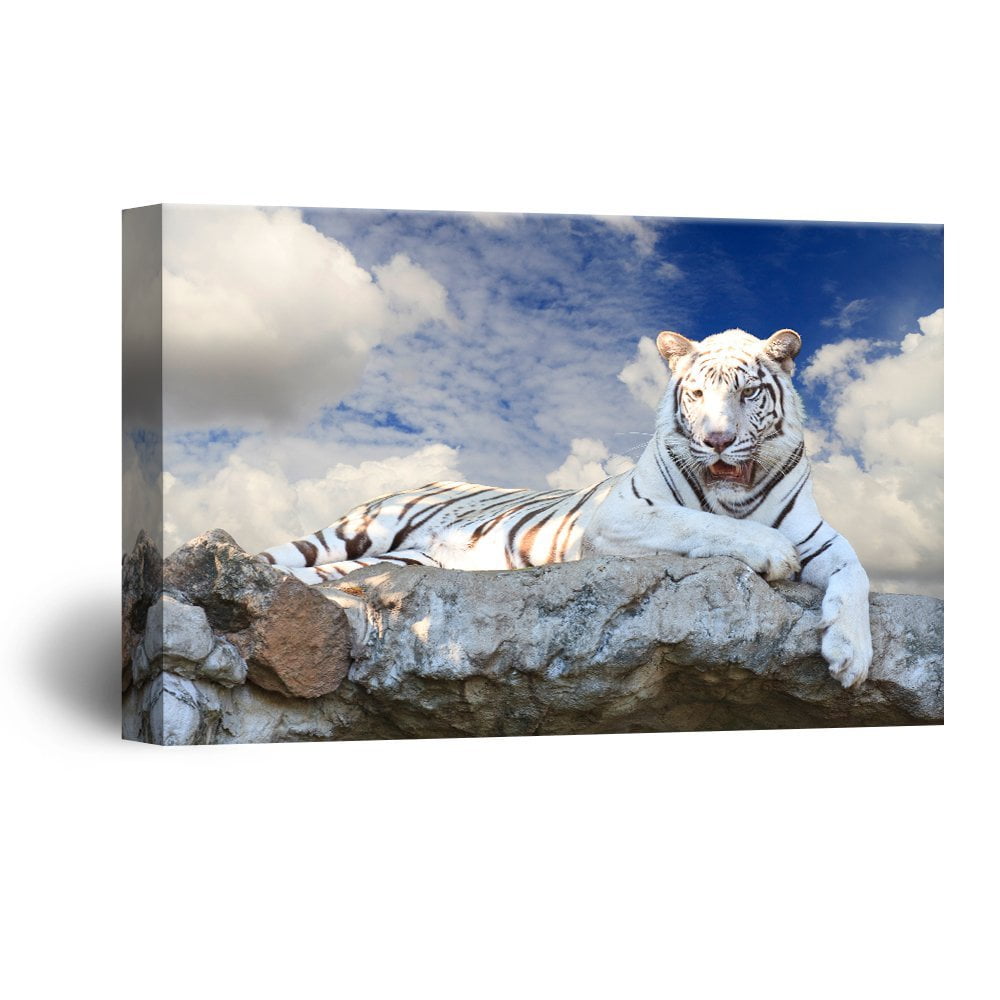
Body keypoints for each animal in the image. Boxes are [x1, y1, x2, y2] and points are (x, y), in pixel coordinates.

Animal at [259, 327, 873, 688]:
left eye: (748, 392)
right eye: (698, 394)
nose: (718, 440)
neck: (736, 494)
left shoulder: (819, 535)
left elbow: (855, 573)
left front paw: (851, 654)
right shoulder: (621, 515)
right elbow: (700, 522)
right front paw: (772, 554)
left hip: (391, 563)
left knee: (324, 578)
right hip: (358, 531)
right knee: (274, 557)